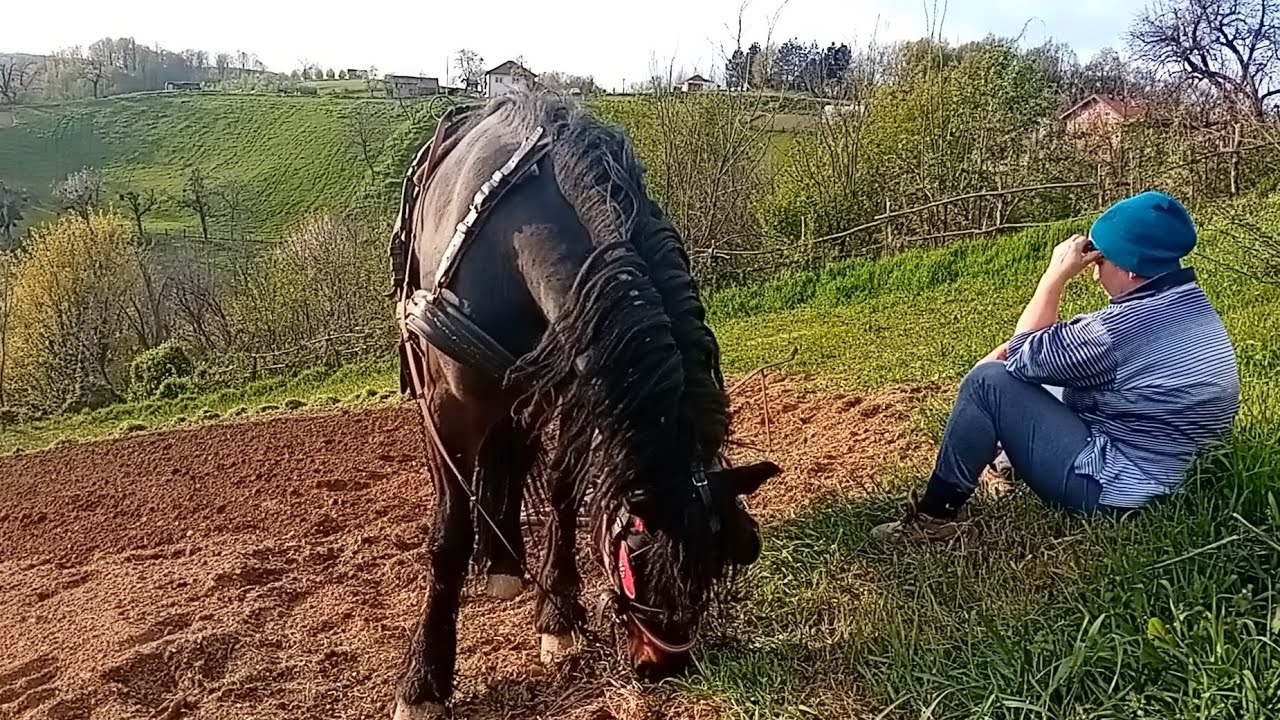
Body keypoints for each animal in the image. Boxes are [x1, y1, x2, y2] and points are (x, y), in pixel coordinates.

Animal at [388, 91, 779, 718]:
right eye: (638, 561)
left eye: (717, 562)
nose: (662, 668)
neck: (516, 242)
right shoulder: (449, 410)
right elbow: (447, 532)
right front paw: (425, 681)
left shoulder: (575, 388)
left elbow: (563, 490)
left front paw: (559, 614)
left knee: (515, 455)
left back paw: (505, 561)